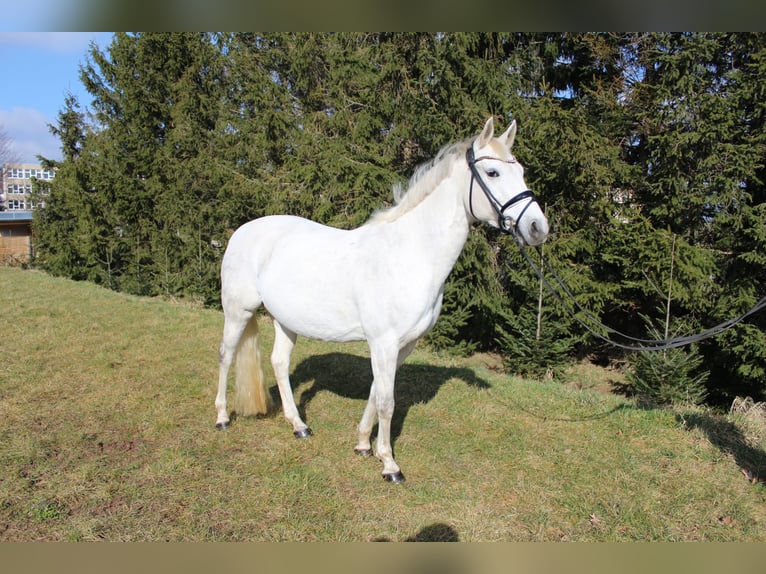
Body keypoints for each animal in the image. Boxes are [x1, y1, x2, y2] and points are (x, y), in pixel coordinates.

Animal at [216, 116, 548, 482]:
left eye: (521, 170)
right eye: (493, 173)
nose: (538, 227)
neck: (410, 254)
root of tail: (243, 231)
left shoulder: (401, 345)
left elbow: (377, 393)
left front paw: (364, 445)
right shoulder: (384, 343)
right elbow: (387, 402)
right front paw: (389, 464)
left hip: (286, 320)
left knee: (278, 363)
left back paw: (299, 425)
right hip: (238, 311)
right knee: (226, 356)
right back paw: (222, 417)